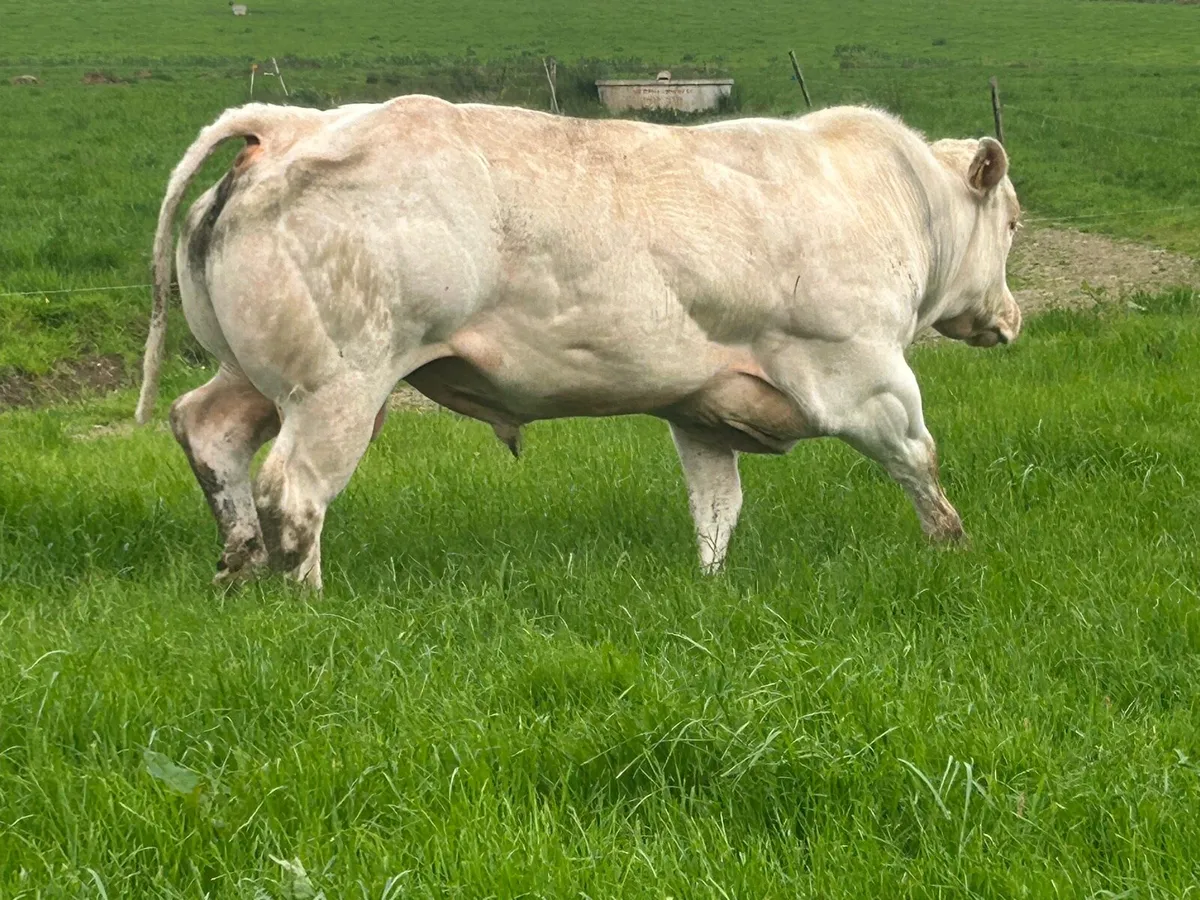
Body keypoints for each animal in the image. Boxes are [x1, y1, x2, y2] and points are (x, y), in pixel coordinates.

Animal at [135, 97, 1022, 589]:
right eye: (1013, 222)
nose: (1010, 319)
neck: (889, 196)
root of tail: (288, 126)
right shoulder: (864, 374)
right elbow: (919, 462)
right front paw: (956, 549)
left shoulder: (700, 410)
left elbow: (716, 510)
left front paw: (711, 585)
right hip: (337, 386)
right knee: (295, 492)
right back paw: (307, 601)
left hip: (258, 375)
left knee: (208, 430)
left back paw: (237, 568)